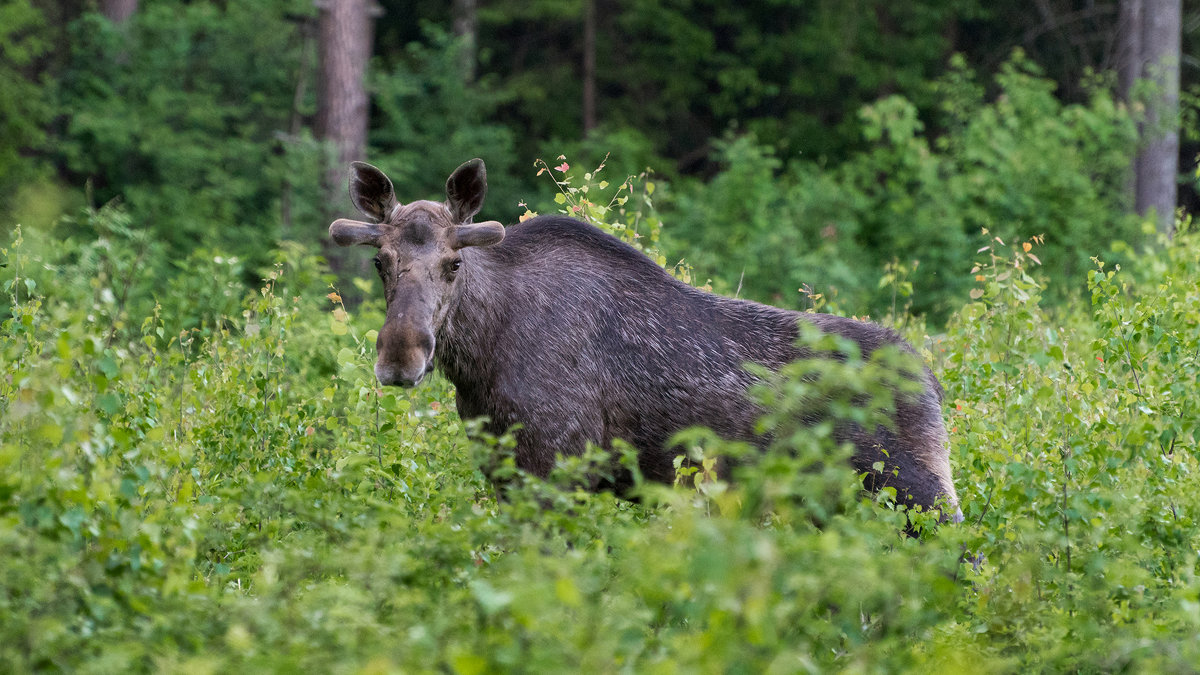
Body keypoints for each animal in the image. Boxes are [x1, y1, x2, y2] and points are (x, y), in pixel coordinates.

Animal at [331, 157, 964, 521]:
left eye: (454, 263)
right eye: (381, 262)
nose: (400, 357)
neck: (479, 362)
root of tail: (929, 379)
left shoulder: (559, 467)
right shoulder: (507, 472)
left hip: (915, 493)